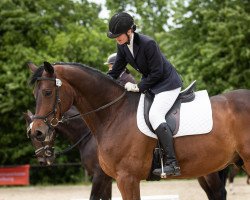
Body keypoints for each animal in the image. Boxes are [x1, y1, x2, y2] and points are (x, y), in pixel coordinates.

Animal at [27, 61, 250, 199]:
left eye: (47, 92)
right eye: (34, 94)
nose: (37, 132)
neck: (114, 114)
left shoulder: (125, 178)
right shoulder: (110, 177)